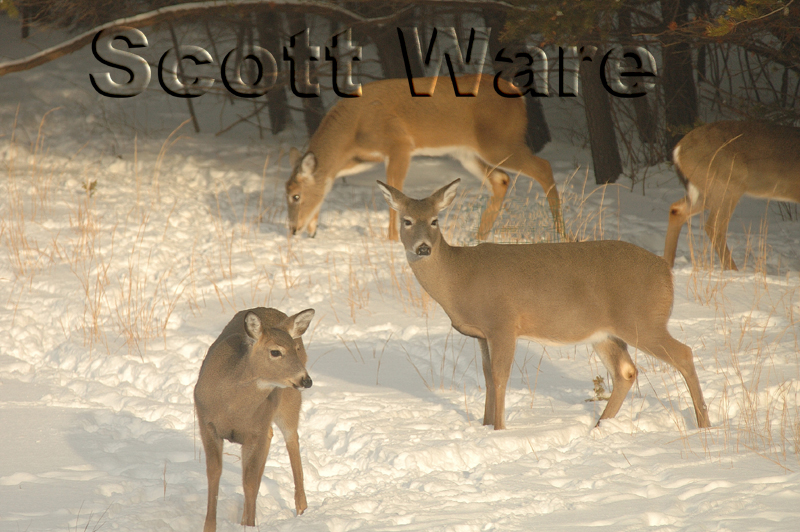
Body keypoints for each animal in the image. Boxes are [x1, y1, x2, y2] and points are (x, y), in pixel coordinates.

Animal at [194, 307, 315, 532]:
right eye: (275, 351)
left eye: (295, 348)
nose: (306, 380)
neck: (232, 408)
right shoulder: (207, 424)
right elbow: (214, 473)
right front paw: (210, 526)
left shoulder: (253, 433)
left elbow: (249, 482)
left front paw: (249, 526)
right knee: (272, 437)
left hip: (289, 401)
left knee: (292, 440)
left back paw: (302, 509)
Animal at [285, 74, 562, 242]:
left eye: (295, 196)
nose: (293, 229)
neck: (352, 129)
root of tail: (518, 95)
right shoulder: (362, 157)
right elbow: (331, 178)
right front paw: (314, 228)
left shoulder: (399, 144)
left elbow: (394, 193)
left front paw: (392, 240)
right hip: (467, 152)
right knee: (501, 179)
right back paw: (479, 237)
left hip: (500, 142)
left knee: (544, 166)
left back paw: (561, 231)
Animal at [378, 179, 711, 431]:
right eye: (407, 221)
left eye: (435, 221)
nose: (423, 247)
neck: (460, 278)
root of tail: (665, 271)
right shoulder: (483, 334)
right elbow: (487, 378)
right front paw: (485, 426)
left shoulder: (503, 323)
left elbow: (500, 377)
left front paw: (499, 429)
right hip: (605, 333)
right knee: (626, 371)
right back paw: (599, 426)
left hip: (642, 319)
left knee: (684, 354)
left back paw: (703, 425)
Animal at [664, 120, 800, 271]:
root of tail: (679, 149)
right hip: (727, 184)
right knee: (713, 226)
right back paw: (733, 270)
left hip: (706, 191)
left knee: (677, 209)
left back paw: (668, 264)